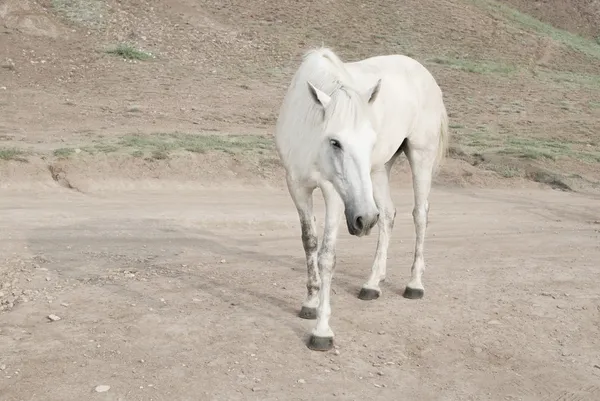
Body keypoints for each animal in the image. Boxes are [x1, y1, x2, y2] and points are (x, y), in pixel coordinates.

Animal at [274, 47, 448, 348]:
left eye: (370, 141)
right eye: (335, 142)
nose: (364, 220)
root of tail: (424, 73)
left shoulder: (332, 192)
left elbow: (327, 256)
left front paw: (322, 331)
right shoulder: (297, 187)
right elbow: (309, 243)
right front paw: (310, 302)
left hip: (420, 156)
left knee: (420, 215)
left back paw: (414, 284)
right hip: (379, 170)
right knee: (388, 215)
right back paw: (372, 284)